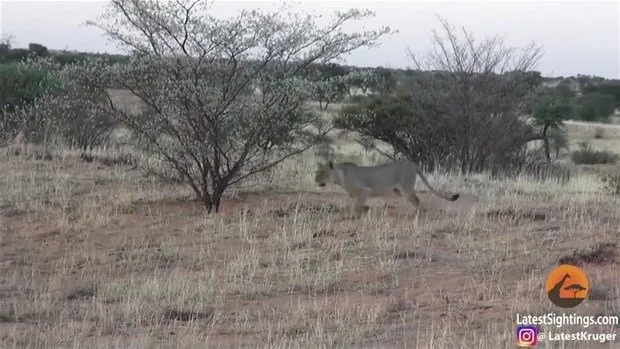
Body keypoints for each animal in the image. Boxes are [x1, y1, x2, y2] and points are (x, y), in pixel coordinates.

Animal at [318, 160, 458, 215]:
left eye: (323, 172)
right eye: (317, 172)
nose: (315, 180)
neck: (339, 178)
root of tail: (412, 164)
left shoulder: (365, 190)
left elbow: (356, 206)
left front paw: (360, 211)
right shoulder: (356, 195)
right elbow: (356, 204)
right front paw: (365, 209)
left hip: (406, 188)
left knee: (417, 200)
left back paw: (414, 214)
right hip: (398, 190)